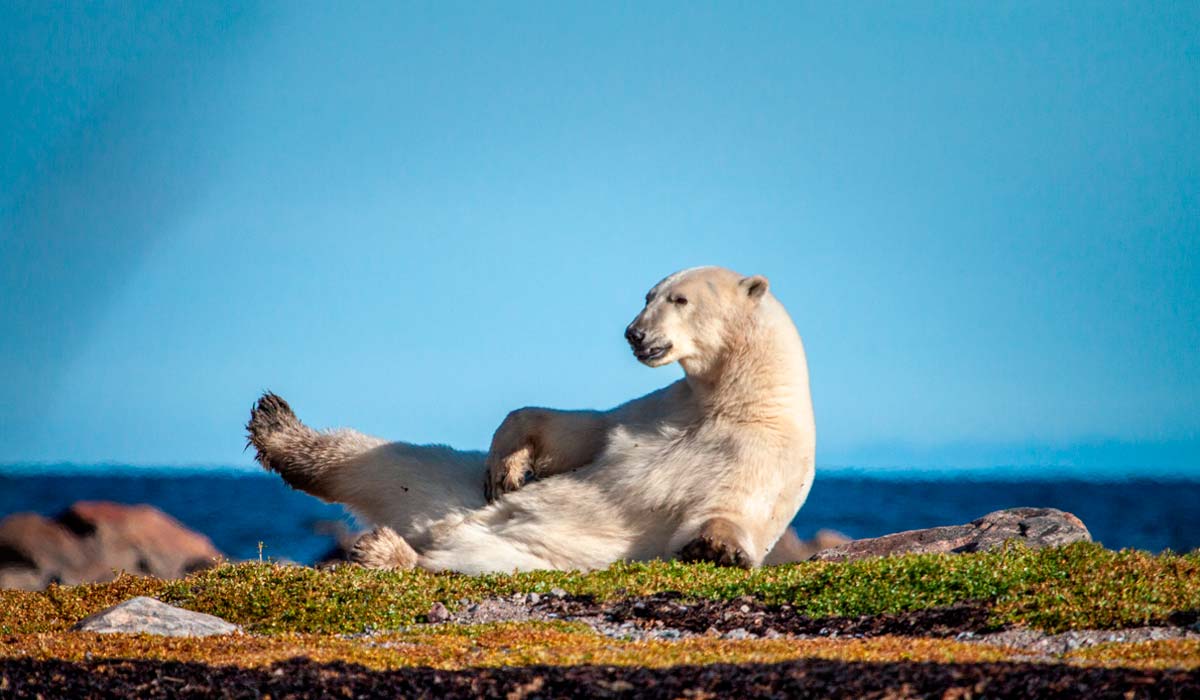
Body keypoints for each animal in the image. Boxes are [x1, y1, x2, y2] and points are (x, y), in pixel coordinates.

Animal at [249, 265, 820, 571]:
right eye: (648, 294)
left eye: (679, 299)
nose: (634, 333)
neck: (739, 396)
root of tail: (441, 527)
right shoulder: (662, 408)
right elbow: (584, 430)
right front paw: (509, 465)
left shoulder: (760, 454)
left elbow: (729, 510)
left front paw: (716, 548)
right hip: (451, 487)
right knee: (383, 460)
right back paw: (276, 427)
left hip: (538, 552)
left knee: (463, 560)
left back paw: (386, 551)